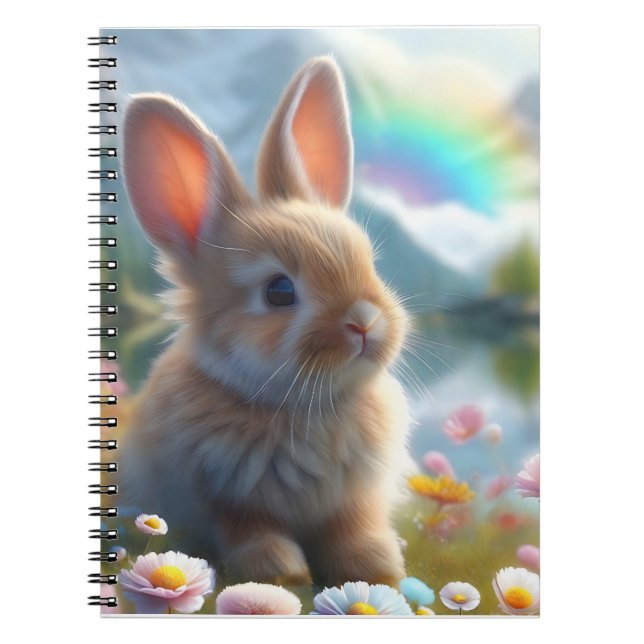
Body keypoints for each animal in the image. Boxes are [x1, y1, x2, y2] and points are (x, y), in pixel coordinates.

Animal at [119, 56, 415, 589]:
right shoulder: (226, 498)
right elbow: (251, 531)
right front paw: (281, 573)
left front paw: (377, 568)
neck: (303, 406)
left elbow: (354, 529)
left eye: (370, 262)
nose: (363, 322)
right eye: (279, 291)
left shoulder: (353, 497)